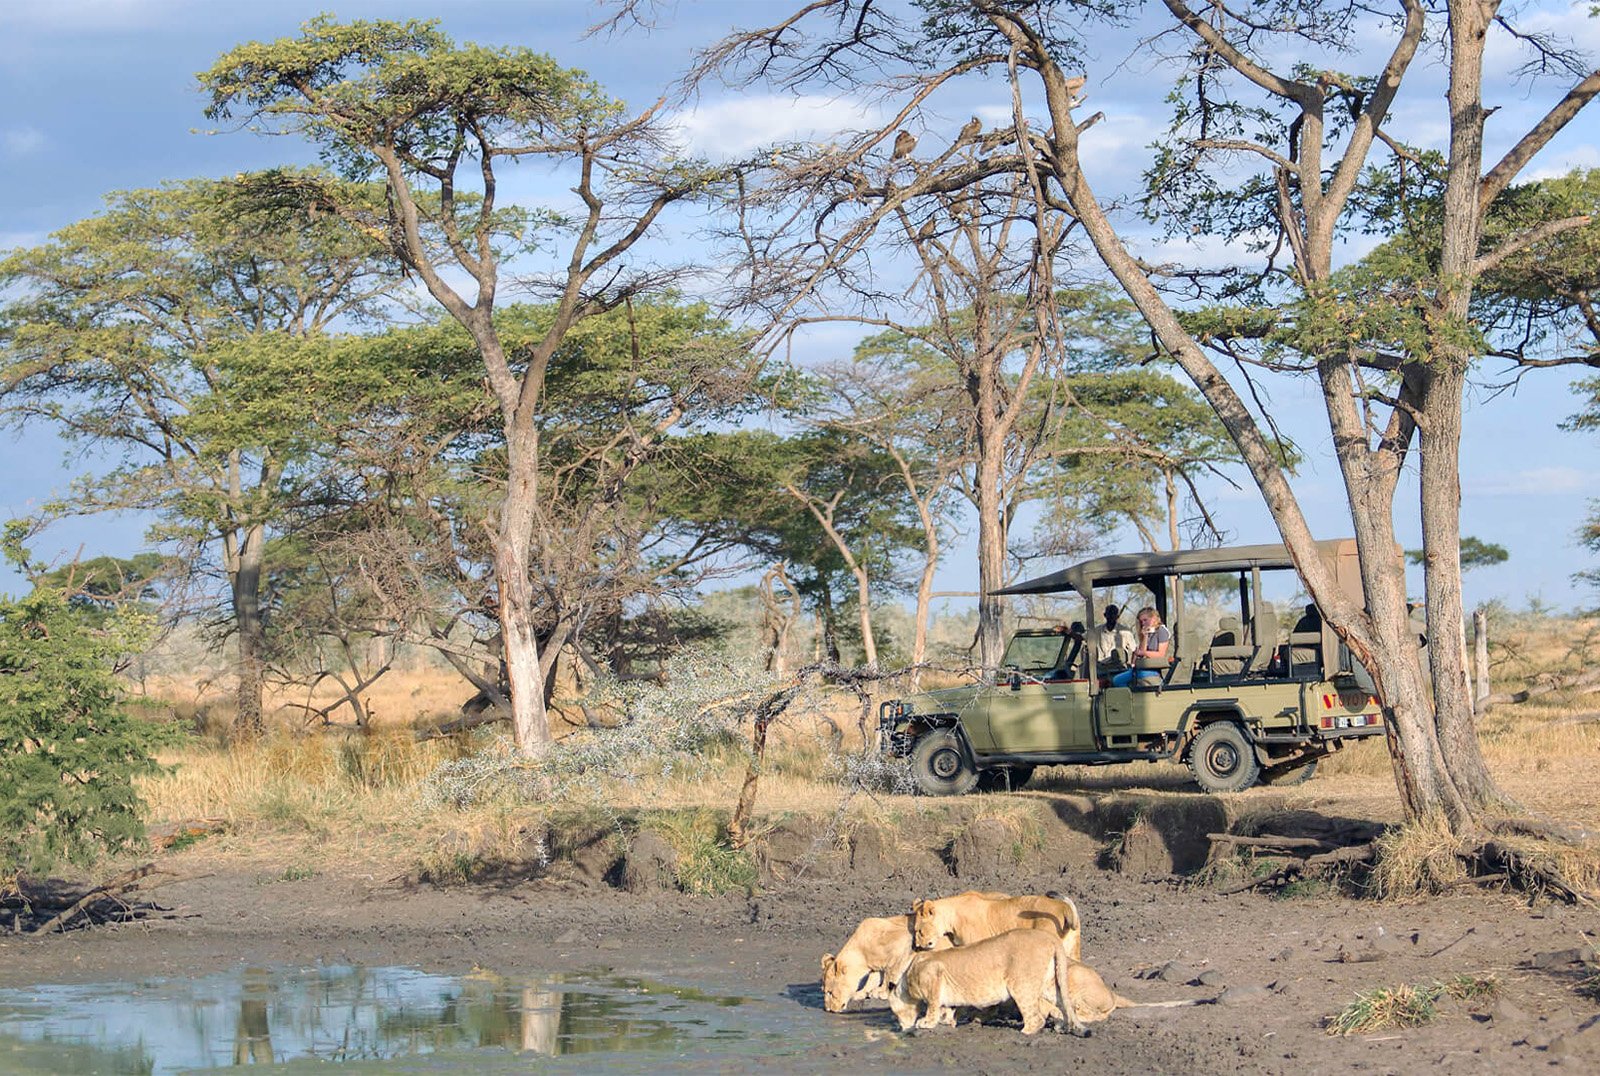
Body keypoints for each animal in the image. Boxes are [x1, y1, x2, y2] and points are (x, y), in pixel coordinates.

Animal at [889, 928, 1203, 1037]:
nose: (900, 1027)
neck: (908, 969)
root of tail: (1049, 937)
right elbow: (946, 1007)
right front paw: (947, 1021)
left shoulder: (933, 976)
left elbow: (933, 1004)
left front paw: (926, 1023)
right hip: (1052, 982)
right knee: (1063, 1008)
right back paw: (1063, 1025)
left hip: (1021, 982)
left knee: (1037, 1015)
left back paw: (1028, 1031)